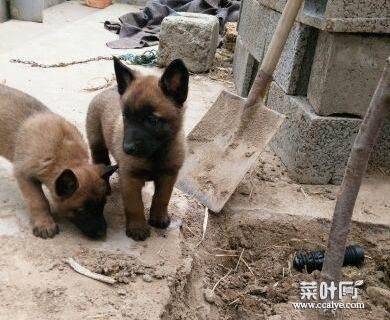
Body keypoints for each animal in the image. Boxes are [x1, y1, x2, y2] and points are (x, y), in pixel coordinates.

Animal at [0, 84, 117, 239]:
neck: (62, 152)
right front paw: (45, 224)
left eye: (103, 204)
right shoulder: (25, 176)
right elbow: (38, 201)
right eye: (81, 210)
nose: (101, 233)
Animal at [85, 58, 189, 241]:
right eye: (125, 116)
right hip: (97, 143)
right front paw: (137, 228)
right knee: (101, 160)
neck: (155, 154)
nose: (127, 148)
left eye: (152, 120)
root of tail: (108, 90)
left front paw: (159, 218)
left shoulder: (169, 175)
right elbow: (135, 205)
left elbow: (162, 198)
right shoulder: (130, 178)